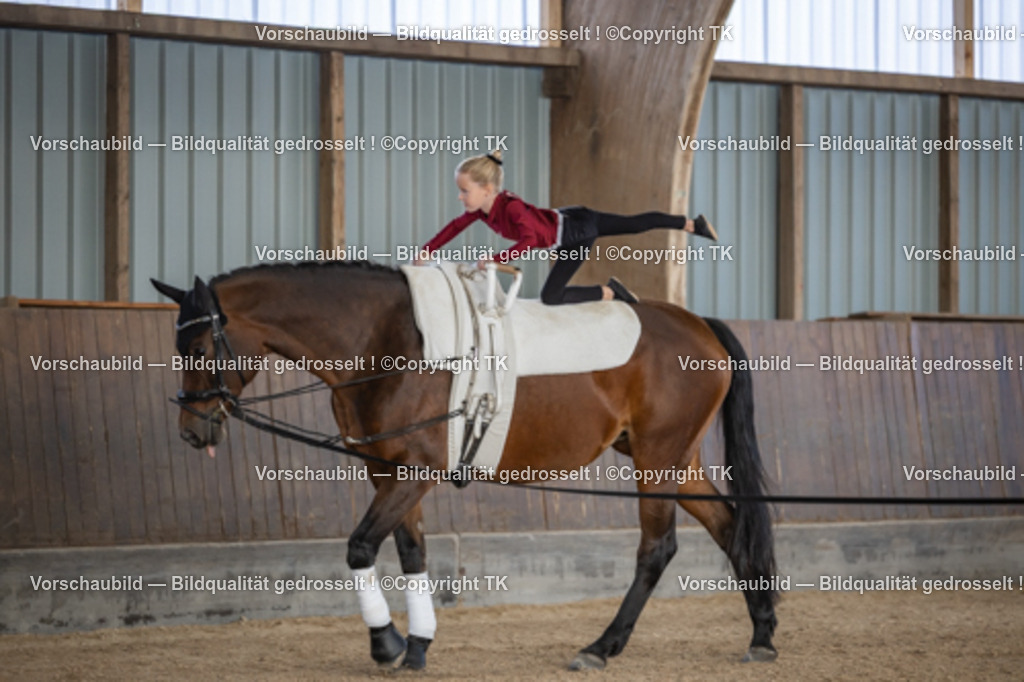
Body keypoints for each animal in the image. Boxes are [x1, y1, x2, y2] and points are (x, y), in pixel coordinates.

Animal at [151, 260, 778, 671]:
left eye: (200, 350)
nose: (190, 431)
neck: (387, 341)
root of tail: (699, 324)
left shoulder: (414, 472)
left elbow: (359, 547)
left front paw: (386, 644)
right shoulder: (388, 473)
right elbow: (411, 553)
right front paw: (417, 645)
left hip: (657, 460)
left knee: (657, 549)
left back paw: (600, 648)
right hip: (676, 463)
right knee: (731, 529)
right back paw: (763, 635)